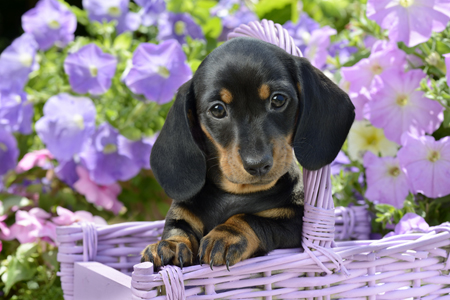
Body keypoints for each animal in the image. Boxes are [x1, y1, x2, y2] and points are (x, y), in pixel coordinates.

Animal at [141, 36, 356, 270]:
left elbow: (251, 218)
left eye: (278, 99)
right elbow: (178, 228)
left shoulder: (293, 221)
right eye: (217, 109)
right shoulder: (181, 214)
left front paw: (226, 235)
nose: (258, 165)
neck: (236, 193)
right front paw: (170, 244)